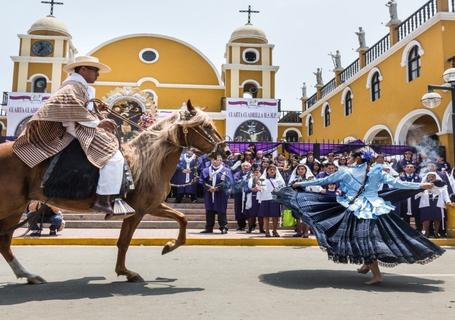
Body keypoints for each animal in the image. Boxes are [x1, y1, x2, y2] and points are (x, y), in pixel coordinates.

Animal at [0, 101, 228, 284]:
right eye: (206, 126)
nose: (225, 151)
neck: (147, 161)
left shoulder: (153, 206)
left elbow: (182, 218)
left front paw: (169, 245)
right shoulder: (139, 210)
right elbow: (124, 242)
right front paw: (127, 272)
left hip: (16, 208)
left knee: (4, 242)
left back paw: (28, 275)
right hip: (11, 207)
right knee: (4, 241)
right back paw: (27, 274)